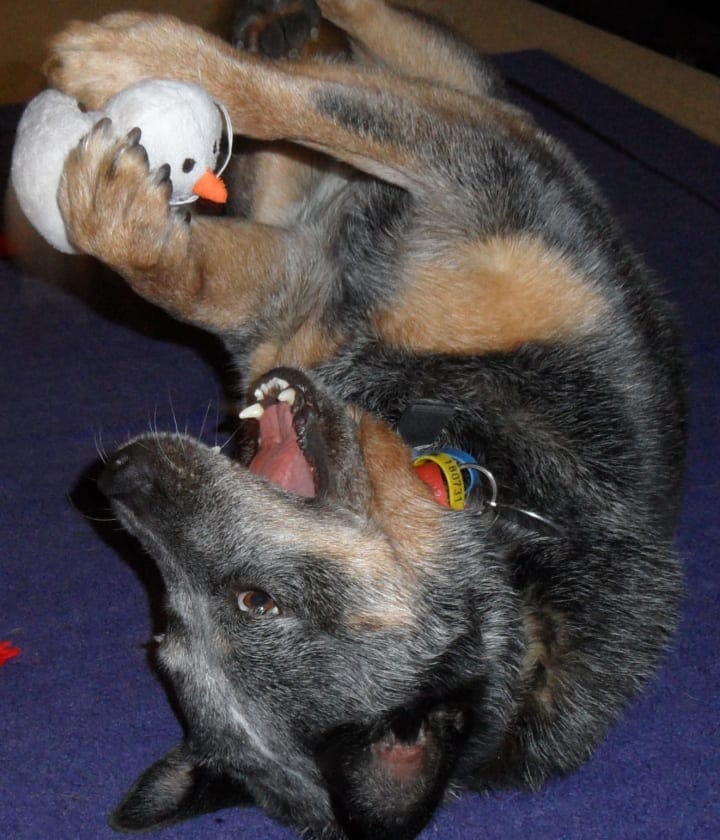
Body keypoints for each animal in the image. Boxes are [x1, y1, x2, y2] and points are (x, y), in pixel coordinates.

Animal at [43, 1, 688, 840]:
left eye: (257, 600)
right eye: (168, 636)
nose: (117, 474)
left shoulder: (481, 162)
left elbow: (302, 104)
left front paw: (128, 59)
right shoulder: (289, 282)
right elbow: (182, 268)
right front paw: (126, 212)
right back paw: (278, 26)